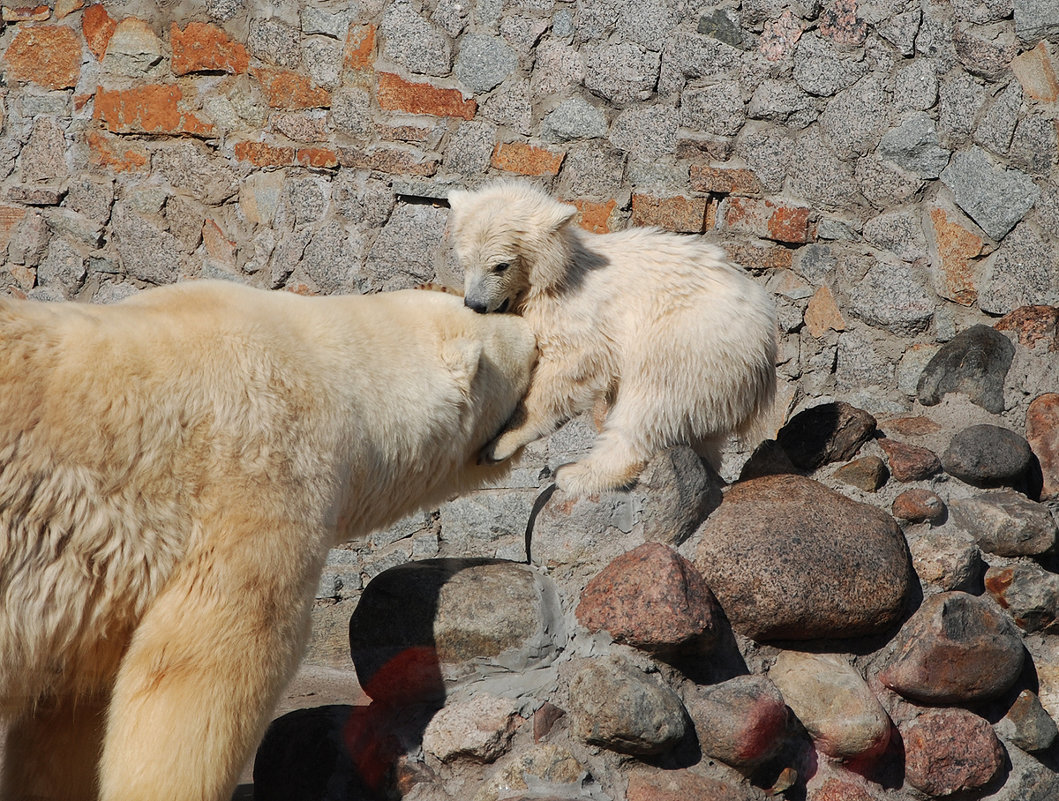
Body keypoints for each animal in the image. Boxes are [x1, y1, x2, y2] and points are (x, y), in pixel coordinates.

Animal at [449, 181, 779, 493]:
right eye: (465, 261)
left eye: (500, 265)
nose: (475, 304)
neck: (561, 272)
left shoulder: (578, 311)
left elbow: (572, 367)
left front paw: (501, 443)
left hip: (690, 339)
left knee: (652, 403)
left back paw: (579, 474)